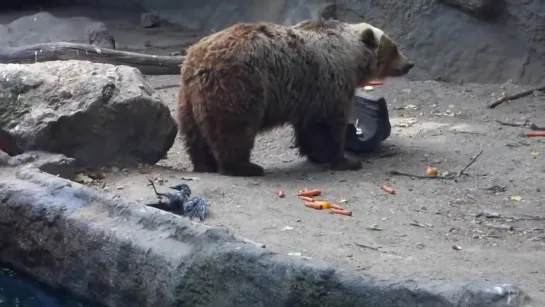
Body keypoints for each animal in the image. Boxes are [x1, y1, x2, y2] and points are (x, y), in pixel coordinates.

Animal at [178, 19, 412, 177]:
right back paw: (245, 167)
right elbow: (326, 126)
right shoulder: (329, 84)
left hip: (189, 95)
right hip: (239, 84)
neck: (352, 57)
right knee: (234, 129)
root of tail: (198, 59)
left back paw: (204, 164)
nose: (409, 64)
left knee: (194, 132)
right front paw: (345, 160)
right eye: (395, 48)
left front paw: (317, 155)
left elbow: (309, 128)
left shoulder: (308, 96)